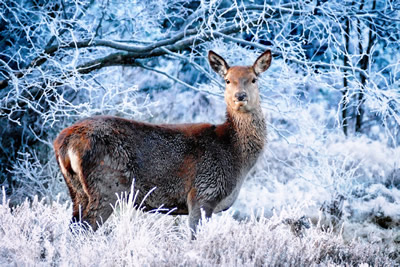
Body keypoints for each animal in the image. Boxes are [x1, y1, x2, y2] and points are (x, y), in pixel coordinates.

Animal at [53, 49, 272, 240]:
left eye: (254, 79)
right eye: (227, 80)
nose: (240, 96)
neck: (234, 154)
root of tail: (64, 142)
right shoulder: (203, 194)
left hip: (77, 191)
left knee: (72, 228)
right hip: (106, 187)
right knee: (83, 230)